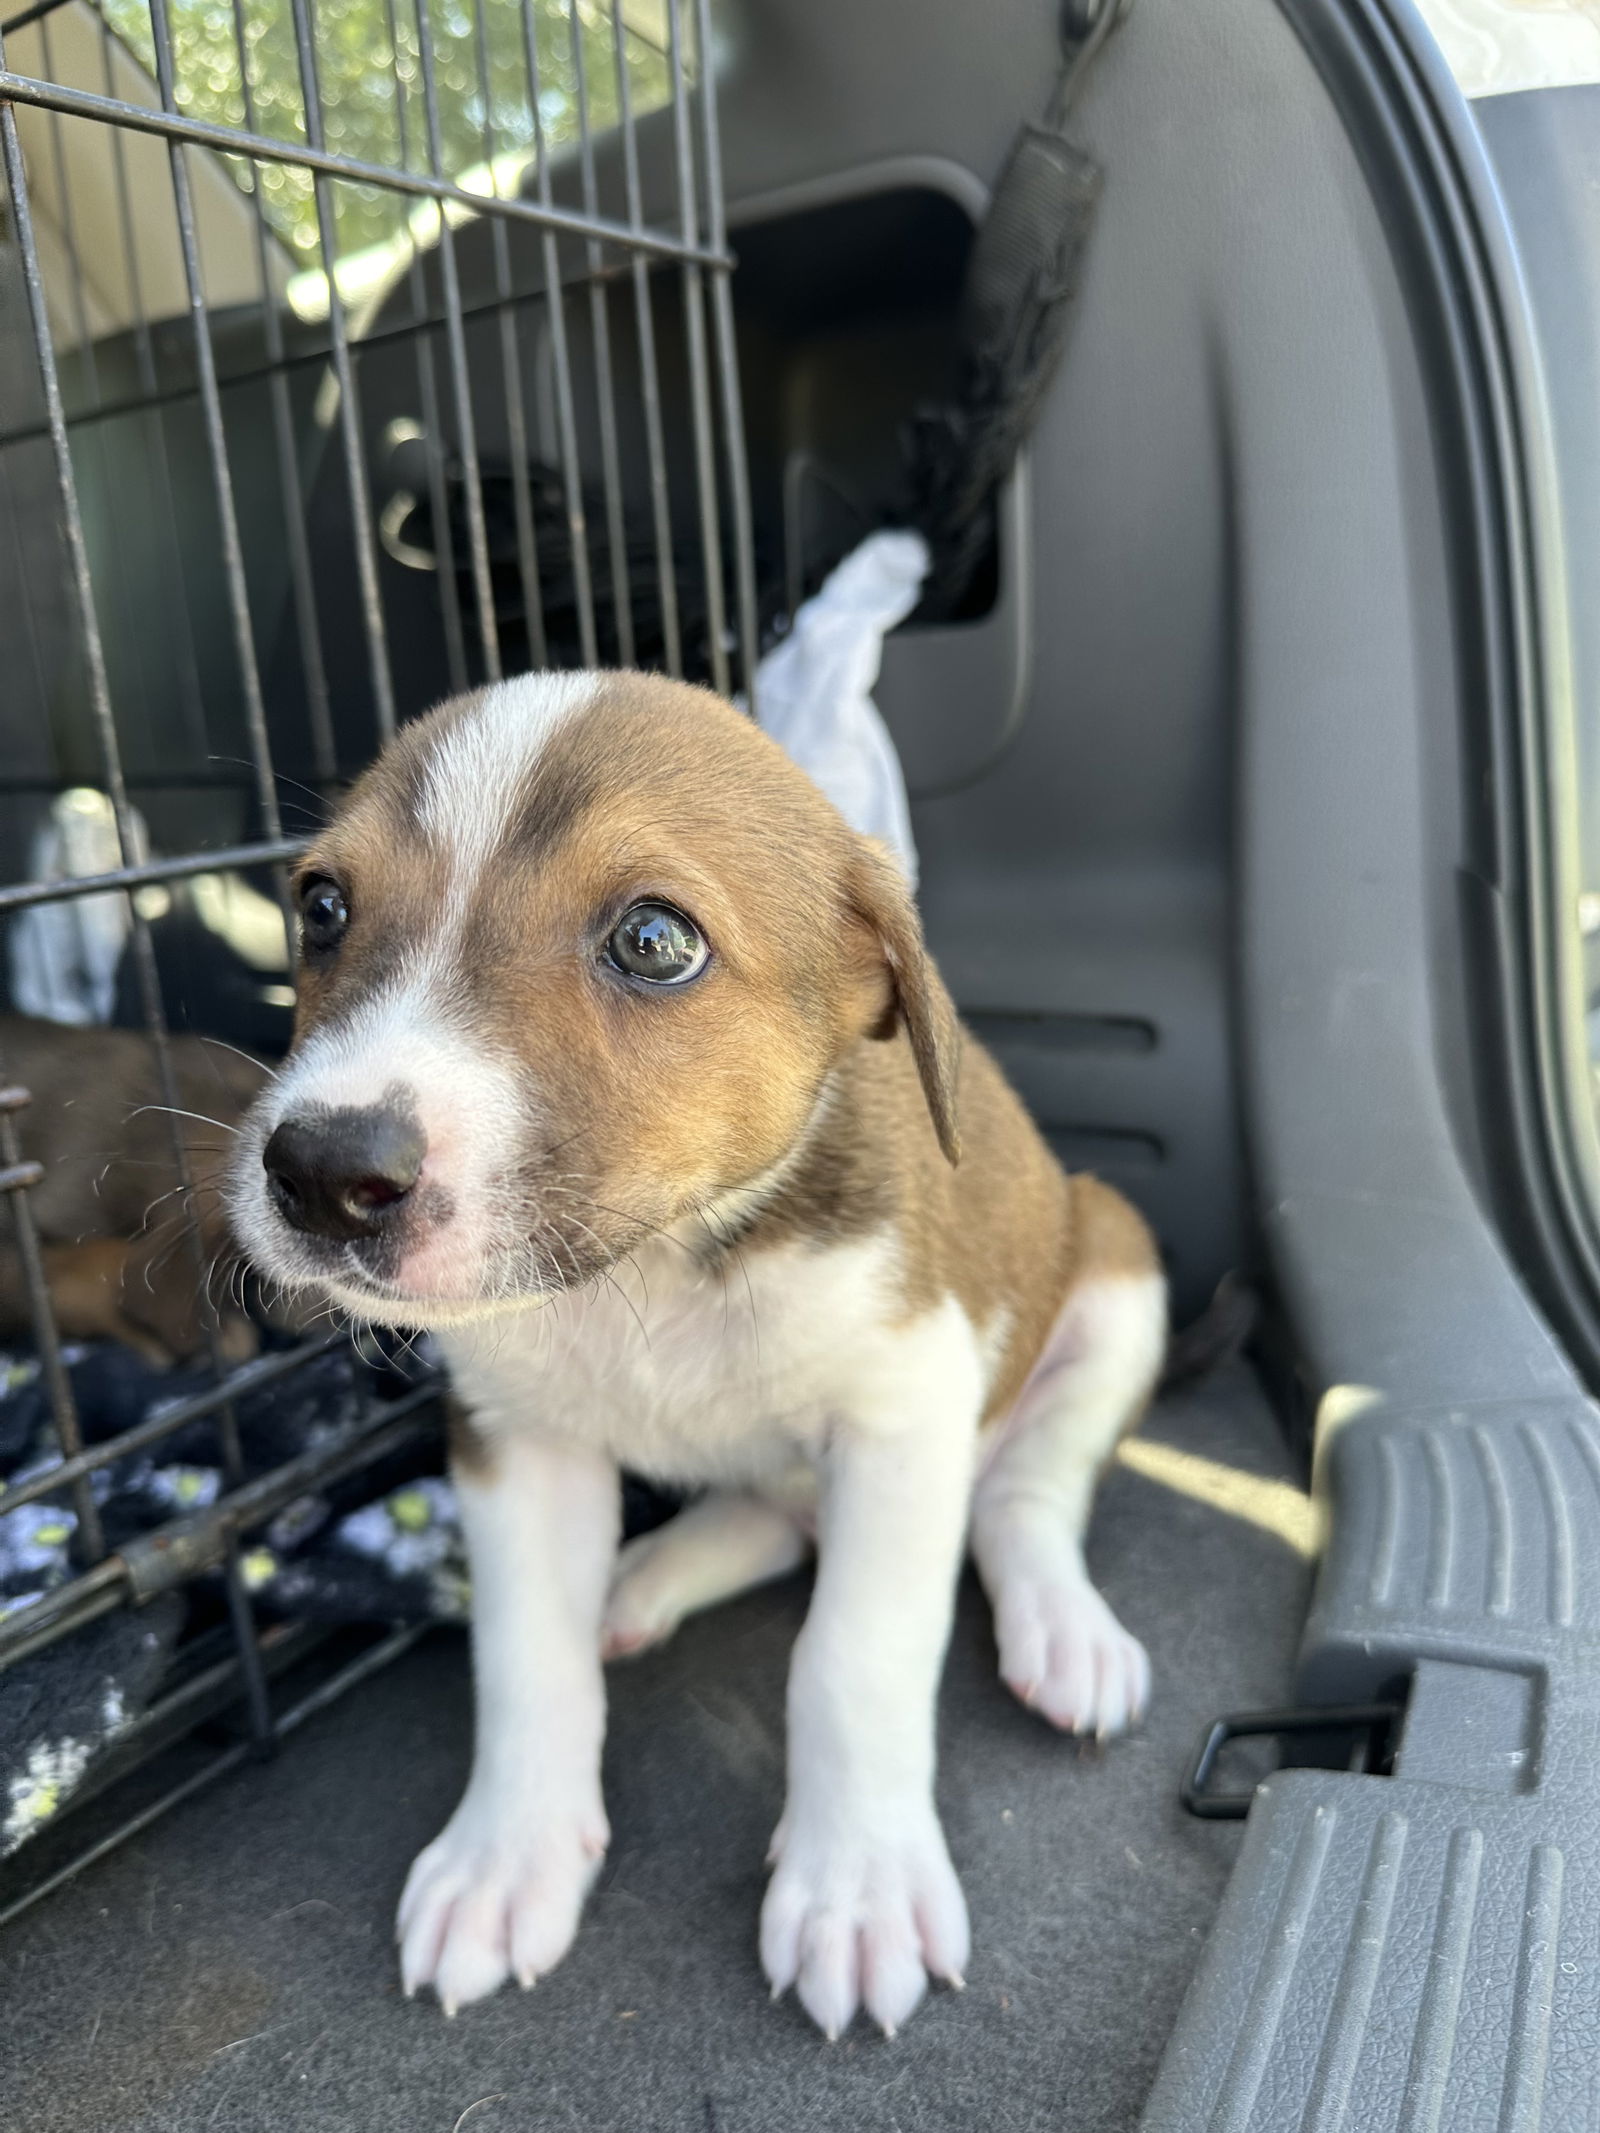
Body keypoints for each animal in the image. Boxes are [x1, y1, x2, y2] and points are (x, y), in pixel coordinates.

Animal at [226, 674, 1169, 2039]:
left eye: (654, 941)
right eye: (321, 907)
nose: (319, 1172)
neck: (658, 1268)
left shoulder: (901, 1415)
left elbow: (855, 1657)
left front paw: (857, 1882)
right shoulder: (515, 1447)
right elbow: (525, 1663)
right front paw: (507, 1856)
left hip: (1114, 1271)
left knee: (1023, 1498)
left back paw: (1063, 1631)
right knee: (766, 1520)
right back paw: (640, 1583)